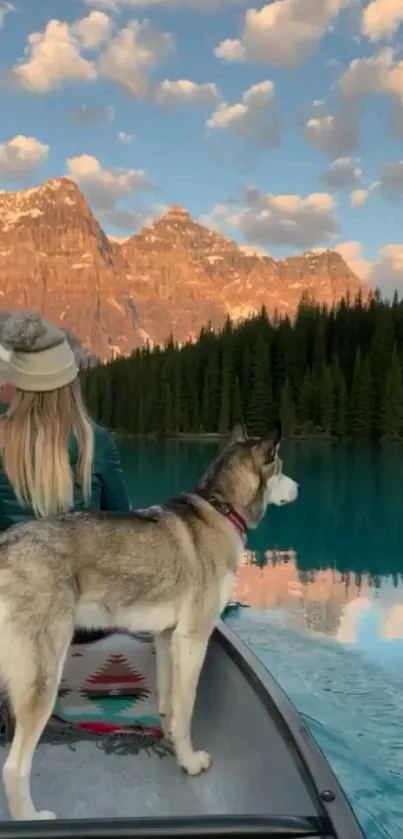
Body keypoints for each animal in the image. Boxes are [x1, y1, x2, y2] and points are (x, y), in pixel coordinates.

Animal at [0, 424, 298, 816]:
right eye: (280, 467)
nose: (298, 487)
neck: (220, 507)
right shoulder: (193, 638)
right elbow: (185, 710)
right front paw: (190, 763)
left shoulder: (167, 637)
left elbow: (169, 707)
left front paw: (172, 745)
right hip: (42, 680)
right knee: (14, 768)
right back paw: (33, 817)